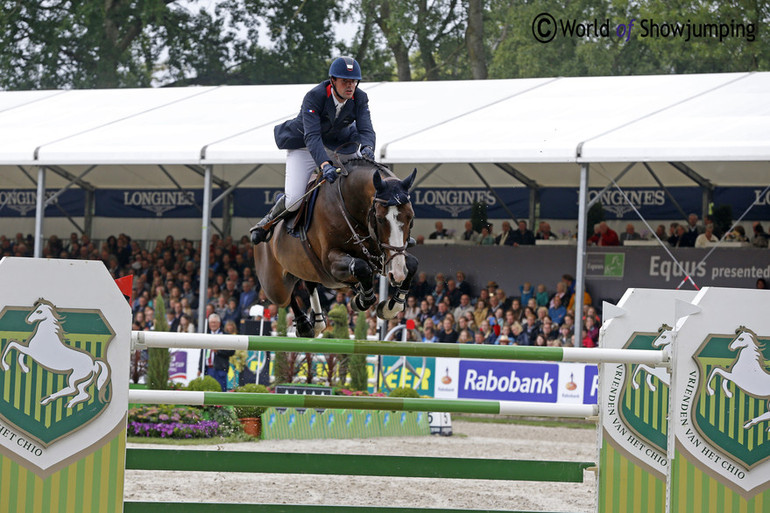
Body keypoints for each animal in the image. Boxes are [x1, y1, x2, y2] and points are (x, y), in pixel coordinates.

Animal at [252, 156, 416, 340]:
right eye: (380, 219)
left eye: (410, 217)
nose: (398, 274)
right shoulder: (331, 262)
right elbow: (360, 267)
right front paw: (360, 300)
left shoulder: (384, 255)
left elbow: (412, 263)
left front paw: (390, 306)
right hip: (274, 286)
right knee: (287, 296)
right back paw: (304, 325)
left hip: (306, 269)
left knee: (309, 284)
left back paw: (316, 322)